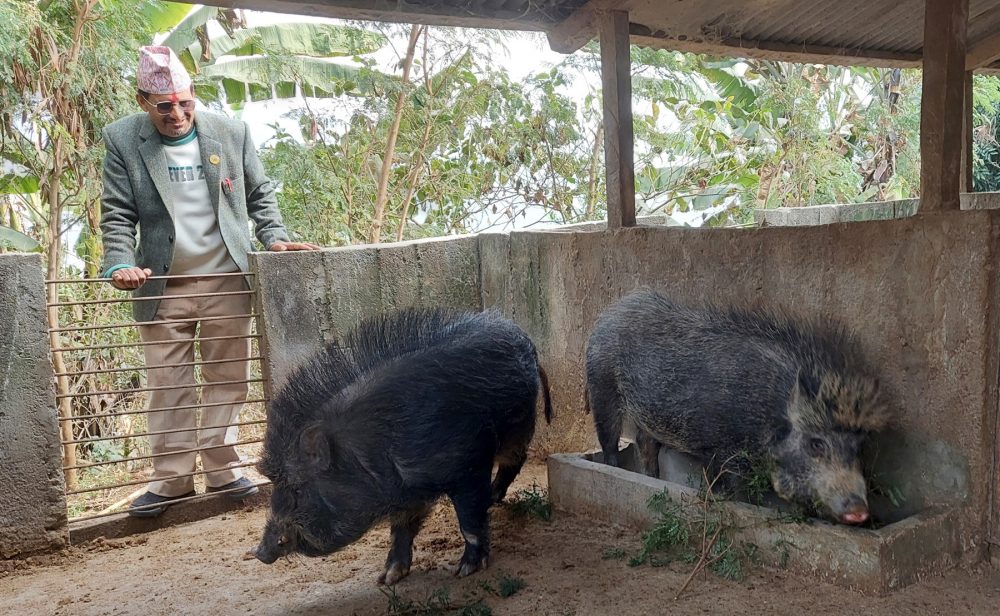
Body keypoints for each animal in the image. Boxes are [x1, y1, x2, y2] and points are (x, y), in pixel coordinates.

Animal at [254, 308, 552, 584]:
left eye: (297, 489)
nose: (259, 552)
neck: (369, 451)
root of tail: (524, 338)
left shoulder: (467, 465)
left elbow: (469, 521)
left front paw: (465, 571)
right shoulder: (406, 493)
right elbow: (401, 529)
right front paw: (387, 578)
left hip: (520, 424)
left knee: (515, 459)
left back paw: (493, 497)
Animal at [584, 288, 892, 524]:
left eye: (858, 447)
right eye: (816, 444)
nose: (860, 512)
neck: (769, 411)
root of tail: (611, 311)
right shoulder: (717, 449)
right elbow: (723, 487)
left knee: (645, 442)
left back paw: (653, 478)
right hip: (602, 387)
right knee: (609, 440)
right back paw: (616, 469)